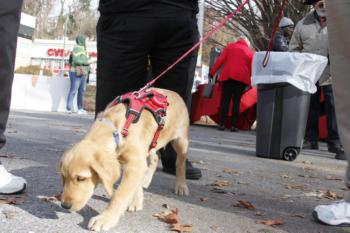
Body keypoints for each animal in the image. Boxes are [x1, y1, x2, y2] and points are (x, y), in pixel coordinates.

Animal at [60, 88, 191, 232]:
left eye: (81, 178)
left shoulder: (135, 163)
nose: (64, 205)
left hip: (181, 141)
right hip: (151, 145)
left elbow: (120, 194)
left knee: (180, 162)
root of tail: (176, 94)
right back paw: (146, 180)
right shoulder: (136, 161)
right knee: (155, 158)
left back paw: (181, 186)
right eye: (63, 177)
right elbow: (134, 183)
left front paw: (106, 218)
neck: (118, 129)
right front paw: (136, 201)